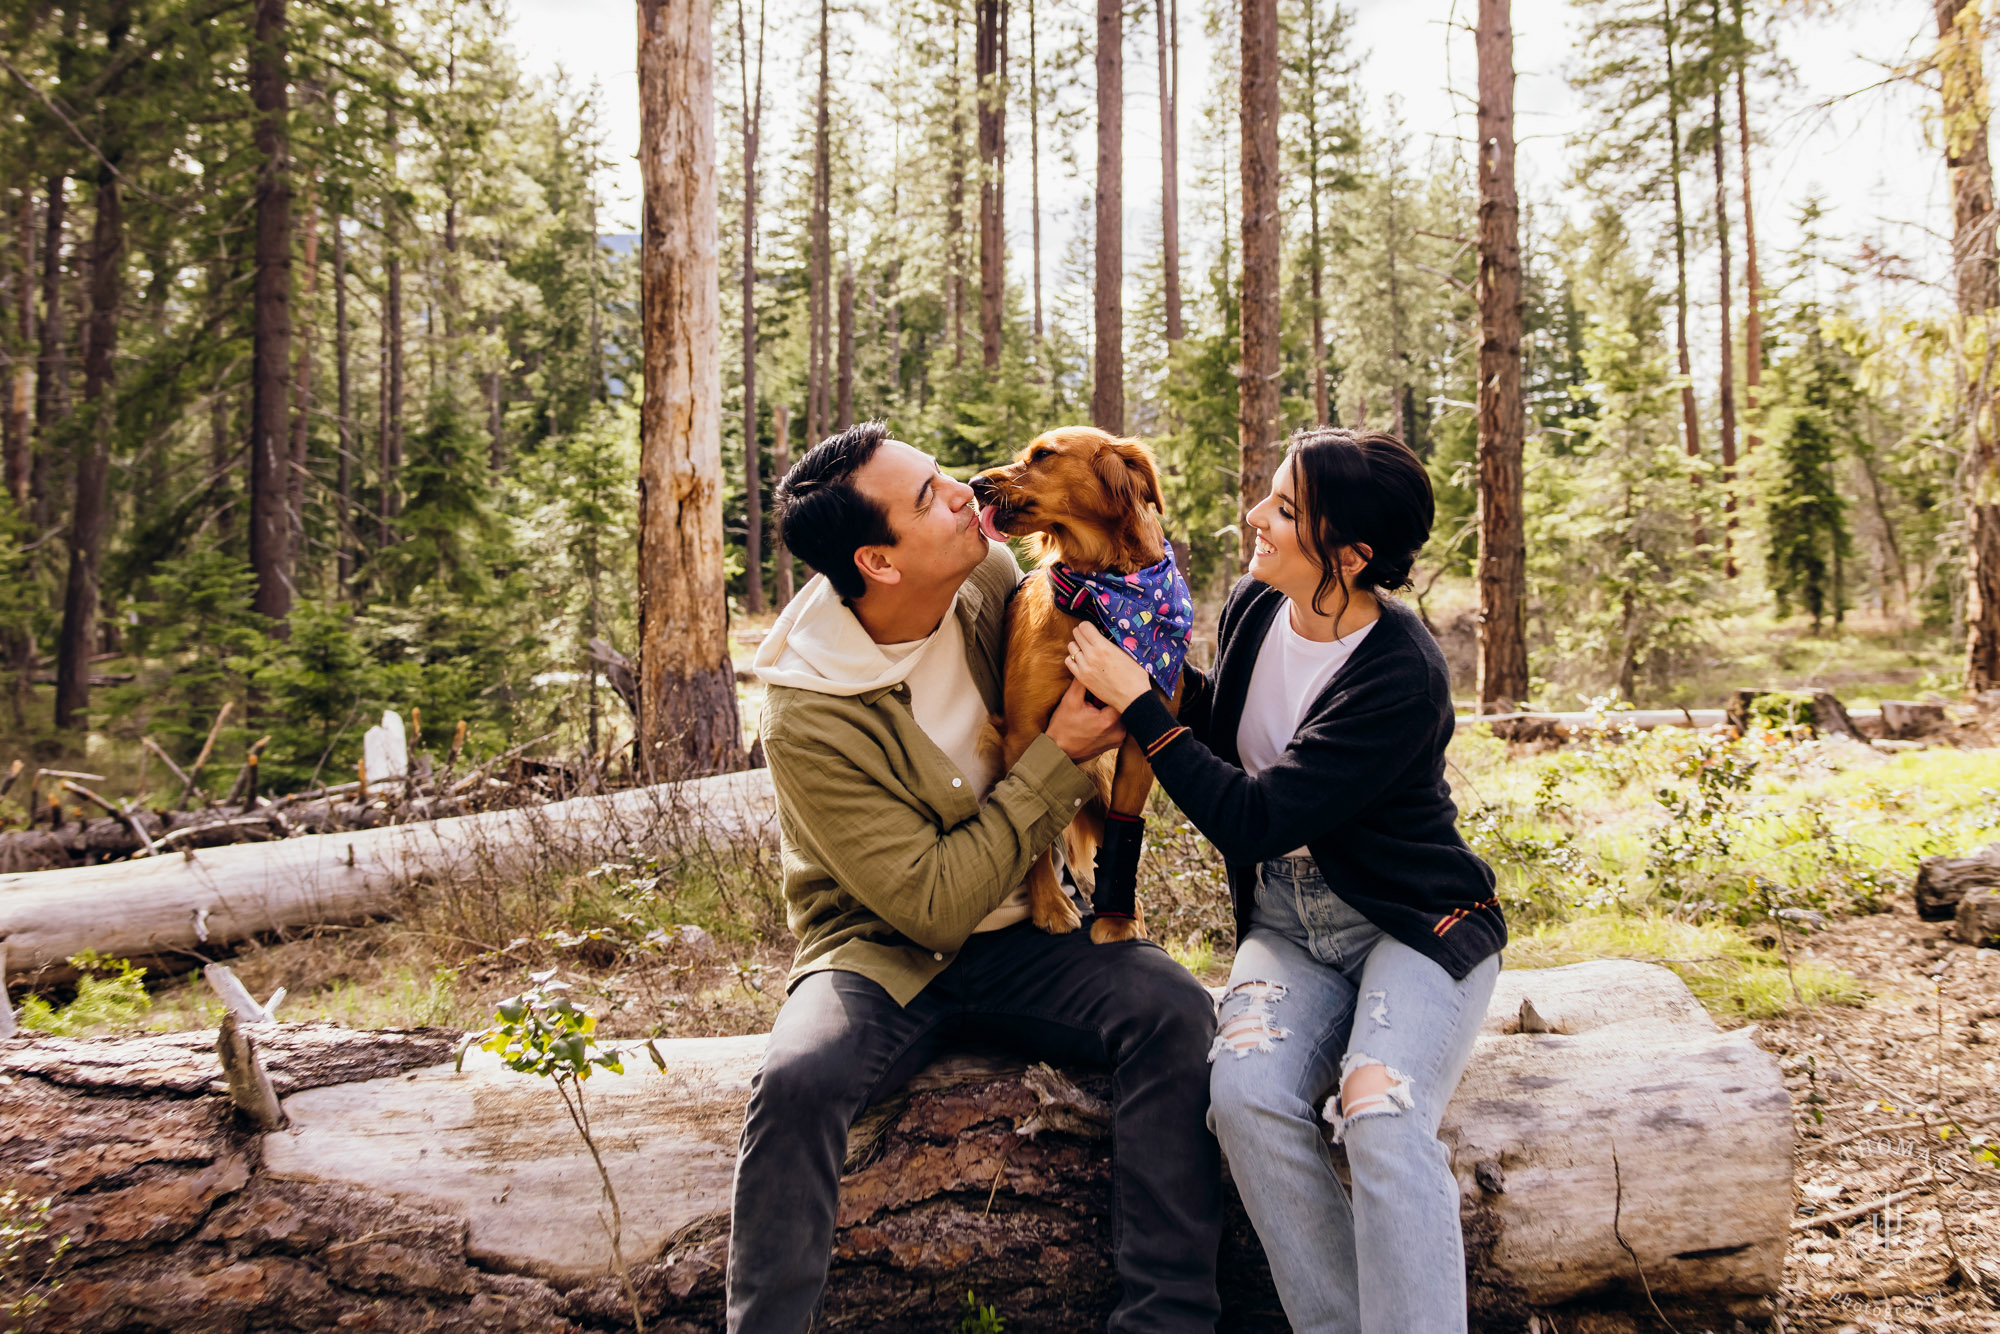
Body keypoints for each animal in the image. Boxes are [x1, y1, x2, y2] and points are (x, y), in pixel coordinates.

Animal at [972, 430, 1184, 948]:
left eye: (1043, 455)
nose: (973, 484)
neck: (1100, 596)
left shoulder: (1140, 741)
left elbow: (1123, 832)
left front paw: (1117, 921)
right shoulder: (1024, 734)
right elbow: (1033, 834)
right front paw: (1051, 907)